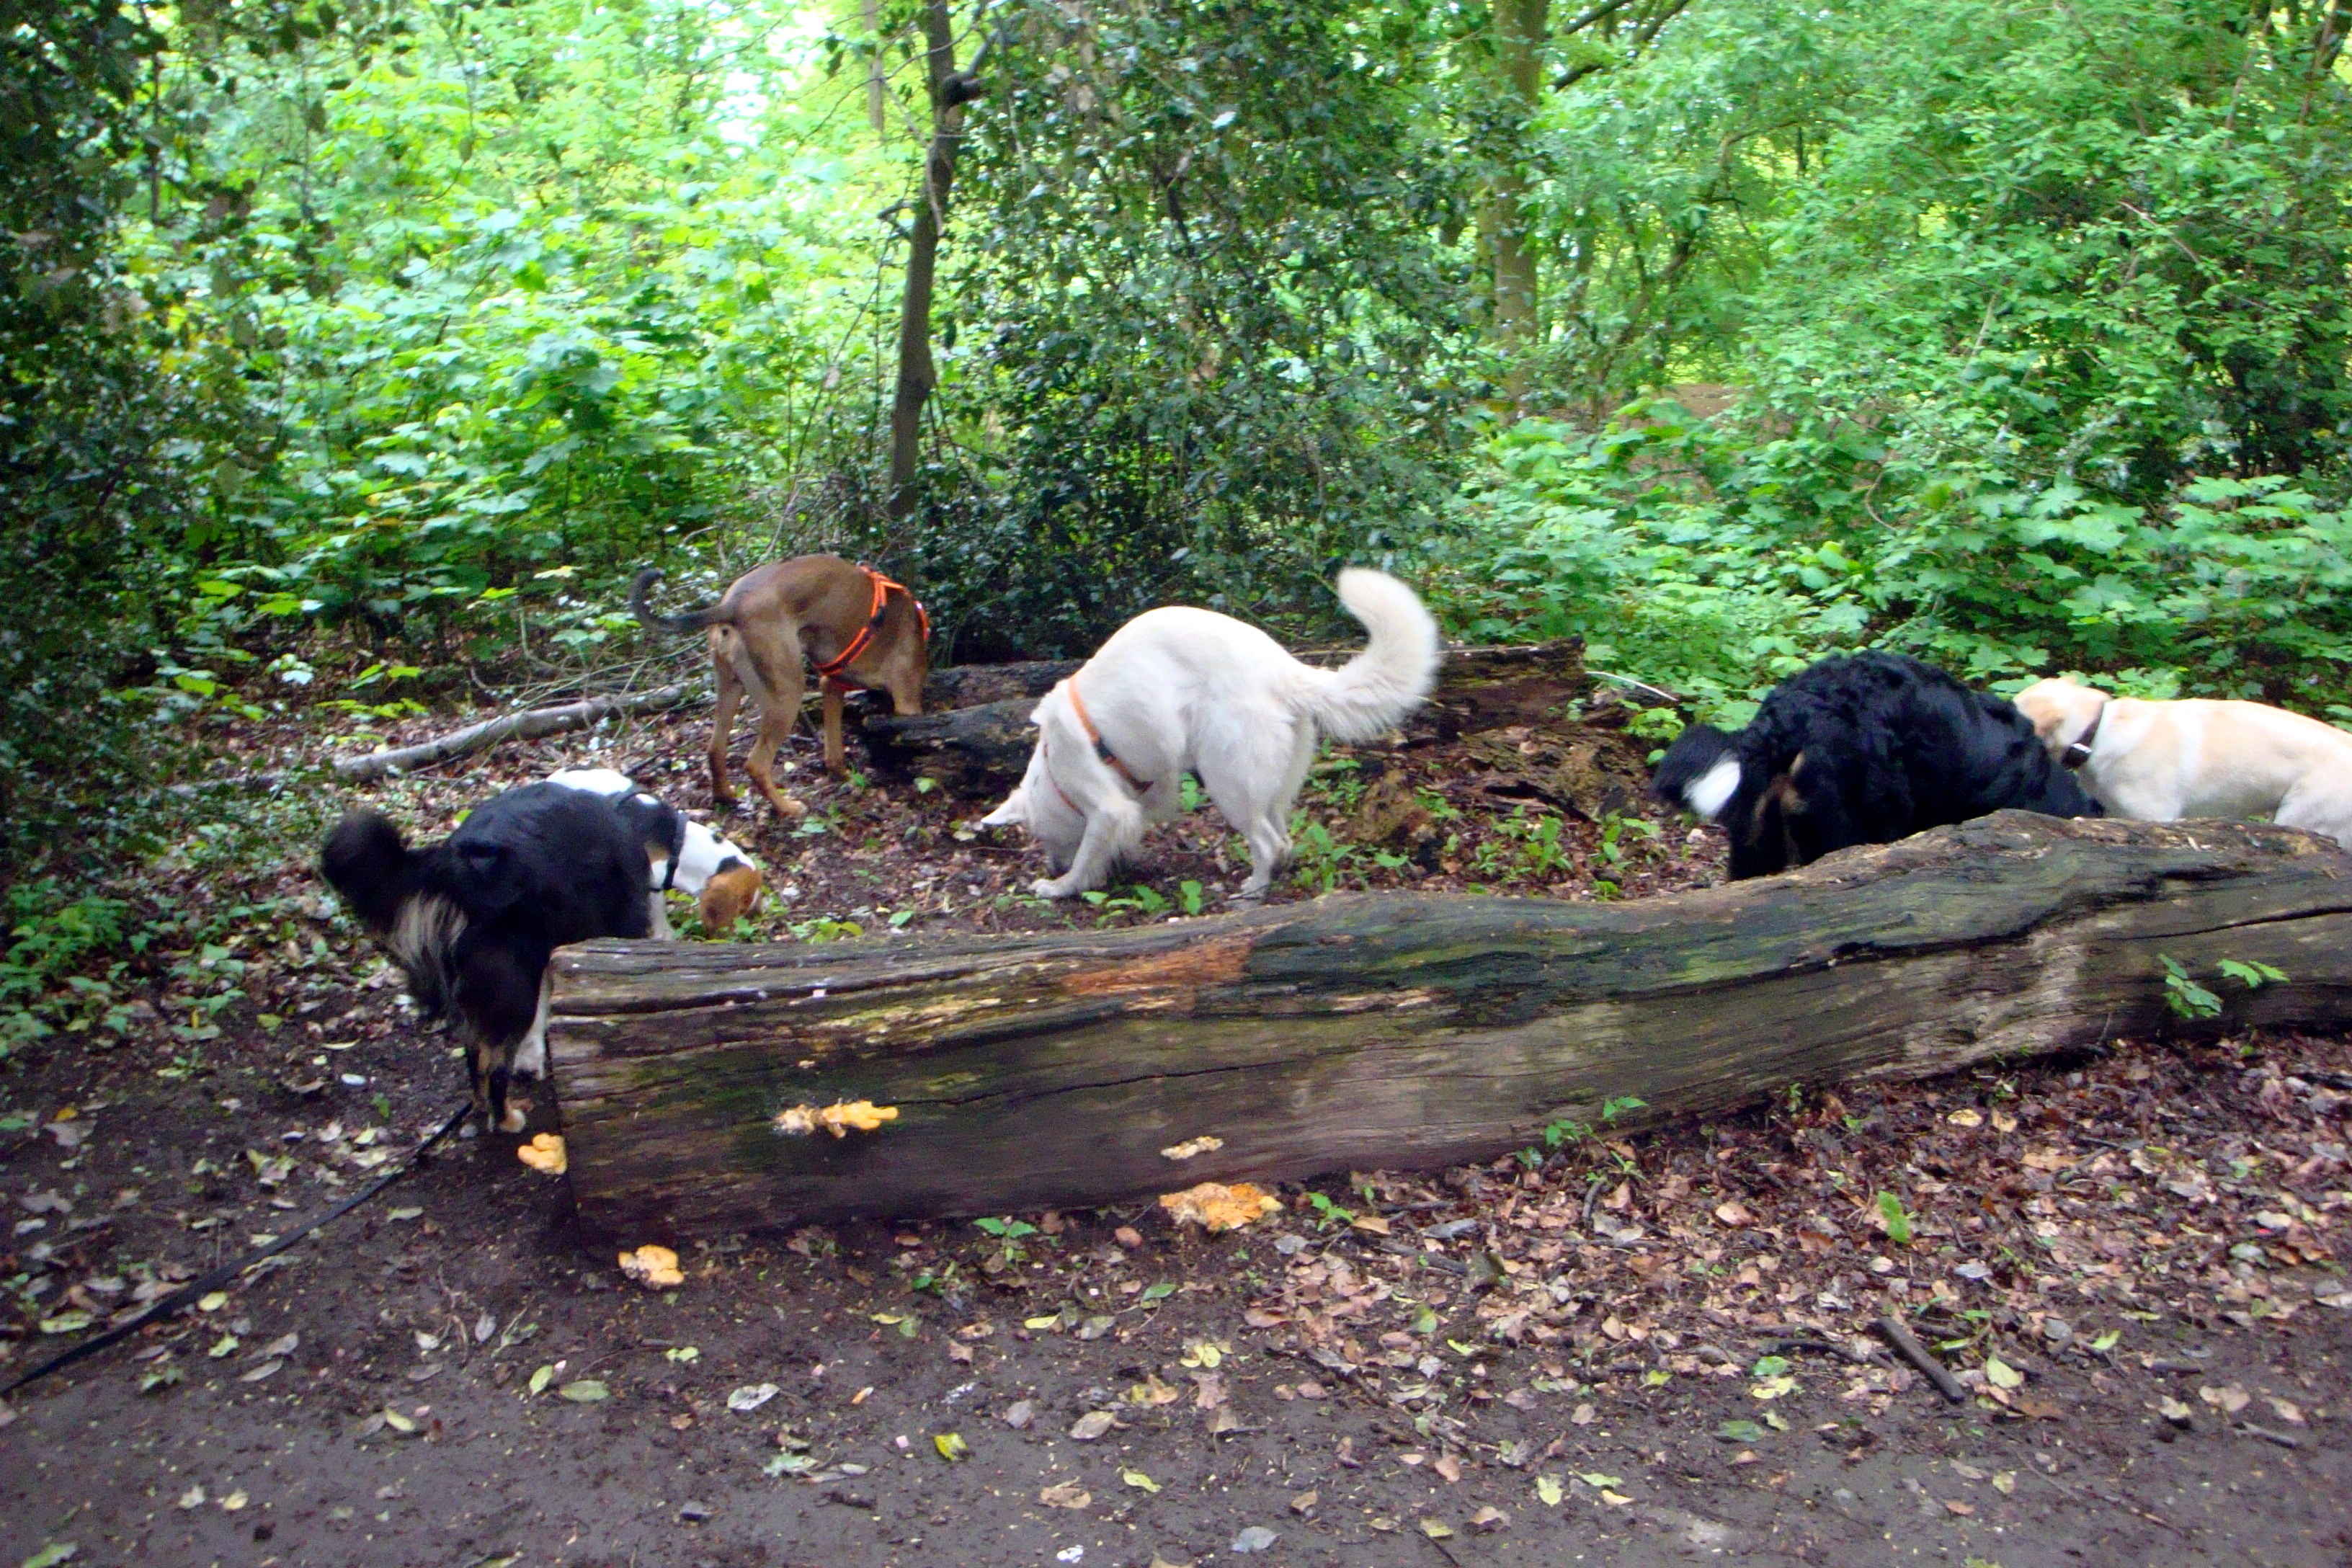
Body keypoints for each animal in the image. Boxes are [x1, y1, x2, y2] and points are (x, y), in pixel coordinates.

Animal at [321, 783, 652, 1132]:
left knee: (474, 1053)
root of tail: (456, 864)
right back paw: (507, 1118)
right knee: (494, 1065)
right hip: (512, 986)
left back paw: (482, 1106)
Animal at [630, 555, 929, 819]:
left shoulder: (831, 685)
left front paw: (844, 775)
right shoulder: (907, 701)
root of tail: (733, 605)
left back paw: (725, 797)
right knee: (756, 764)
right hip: (788, 694)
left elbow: (834, 751)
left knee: (715, 750)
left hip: (730, 687)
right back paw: (787, 809)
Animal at [980, 568, 1441, 902]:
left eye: (1042, 837)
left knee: (1266, 842)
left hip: (1227, 779)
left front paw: (1063, 885)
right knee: (1282, 837)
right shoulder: (1144, 790)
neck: (1052, 770)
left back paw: (1253, 888)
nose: (1052, 866)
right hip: (1269, 784)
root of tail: (1286, 670)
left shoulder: (1106, 803)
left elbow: (1090, 850)